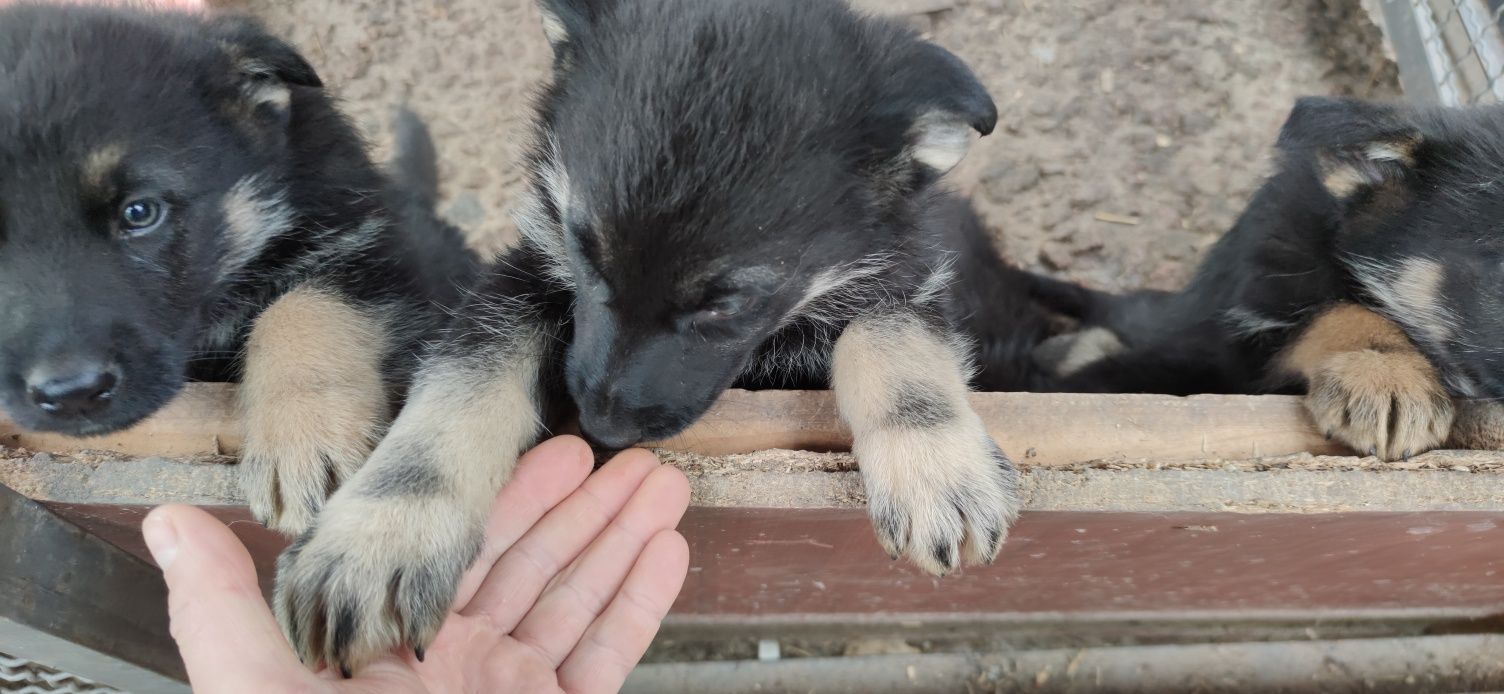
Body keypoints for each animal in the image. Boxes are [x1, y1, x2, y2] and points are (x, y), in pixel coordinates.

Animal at [276, 0, 1082, 671]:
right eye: (582, 247)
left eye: (729, 302)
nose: (601, 427)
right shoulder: (521, 277)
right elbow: (459, 390)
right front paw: (382, 536)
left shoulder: (907, 280)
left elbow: (891, 342)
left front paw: (934, 468)